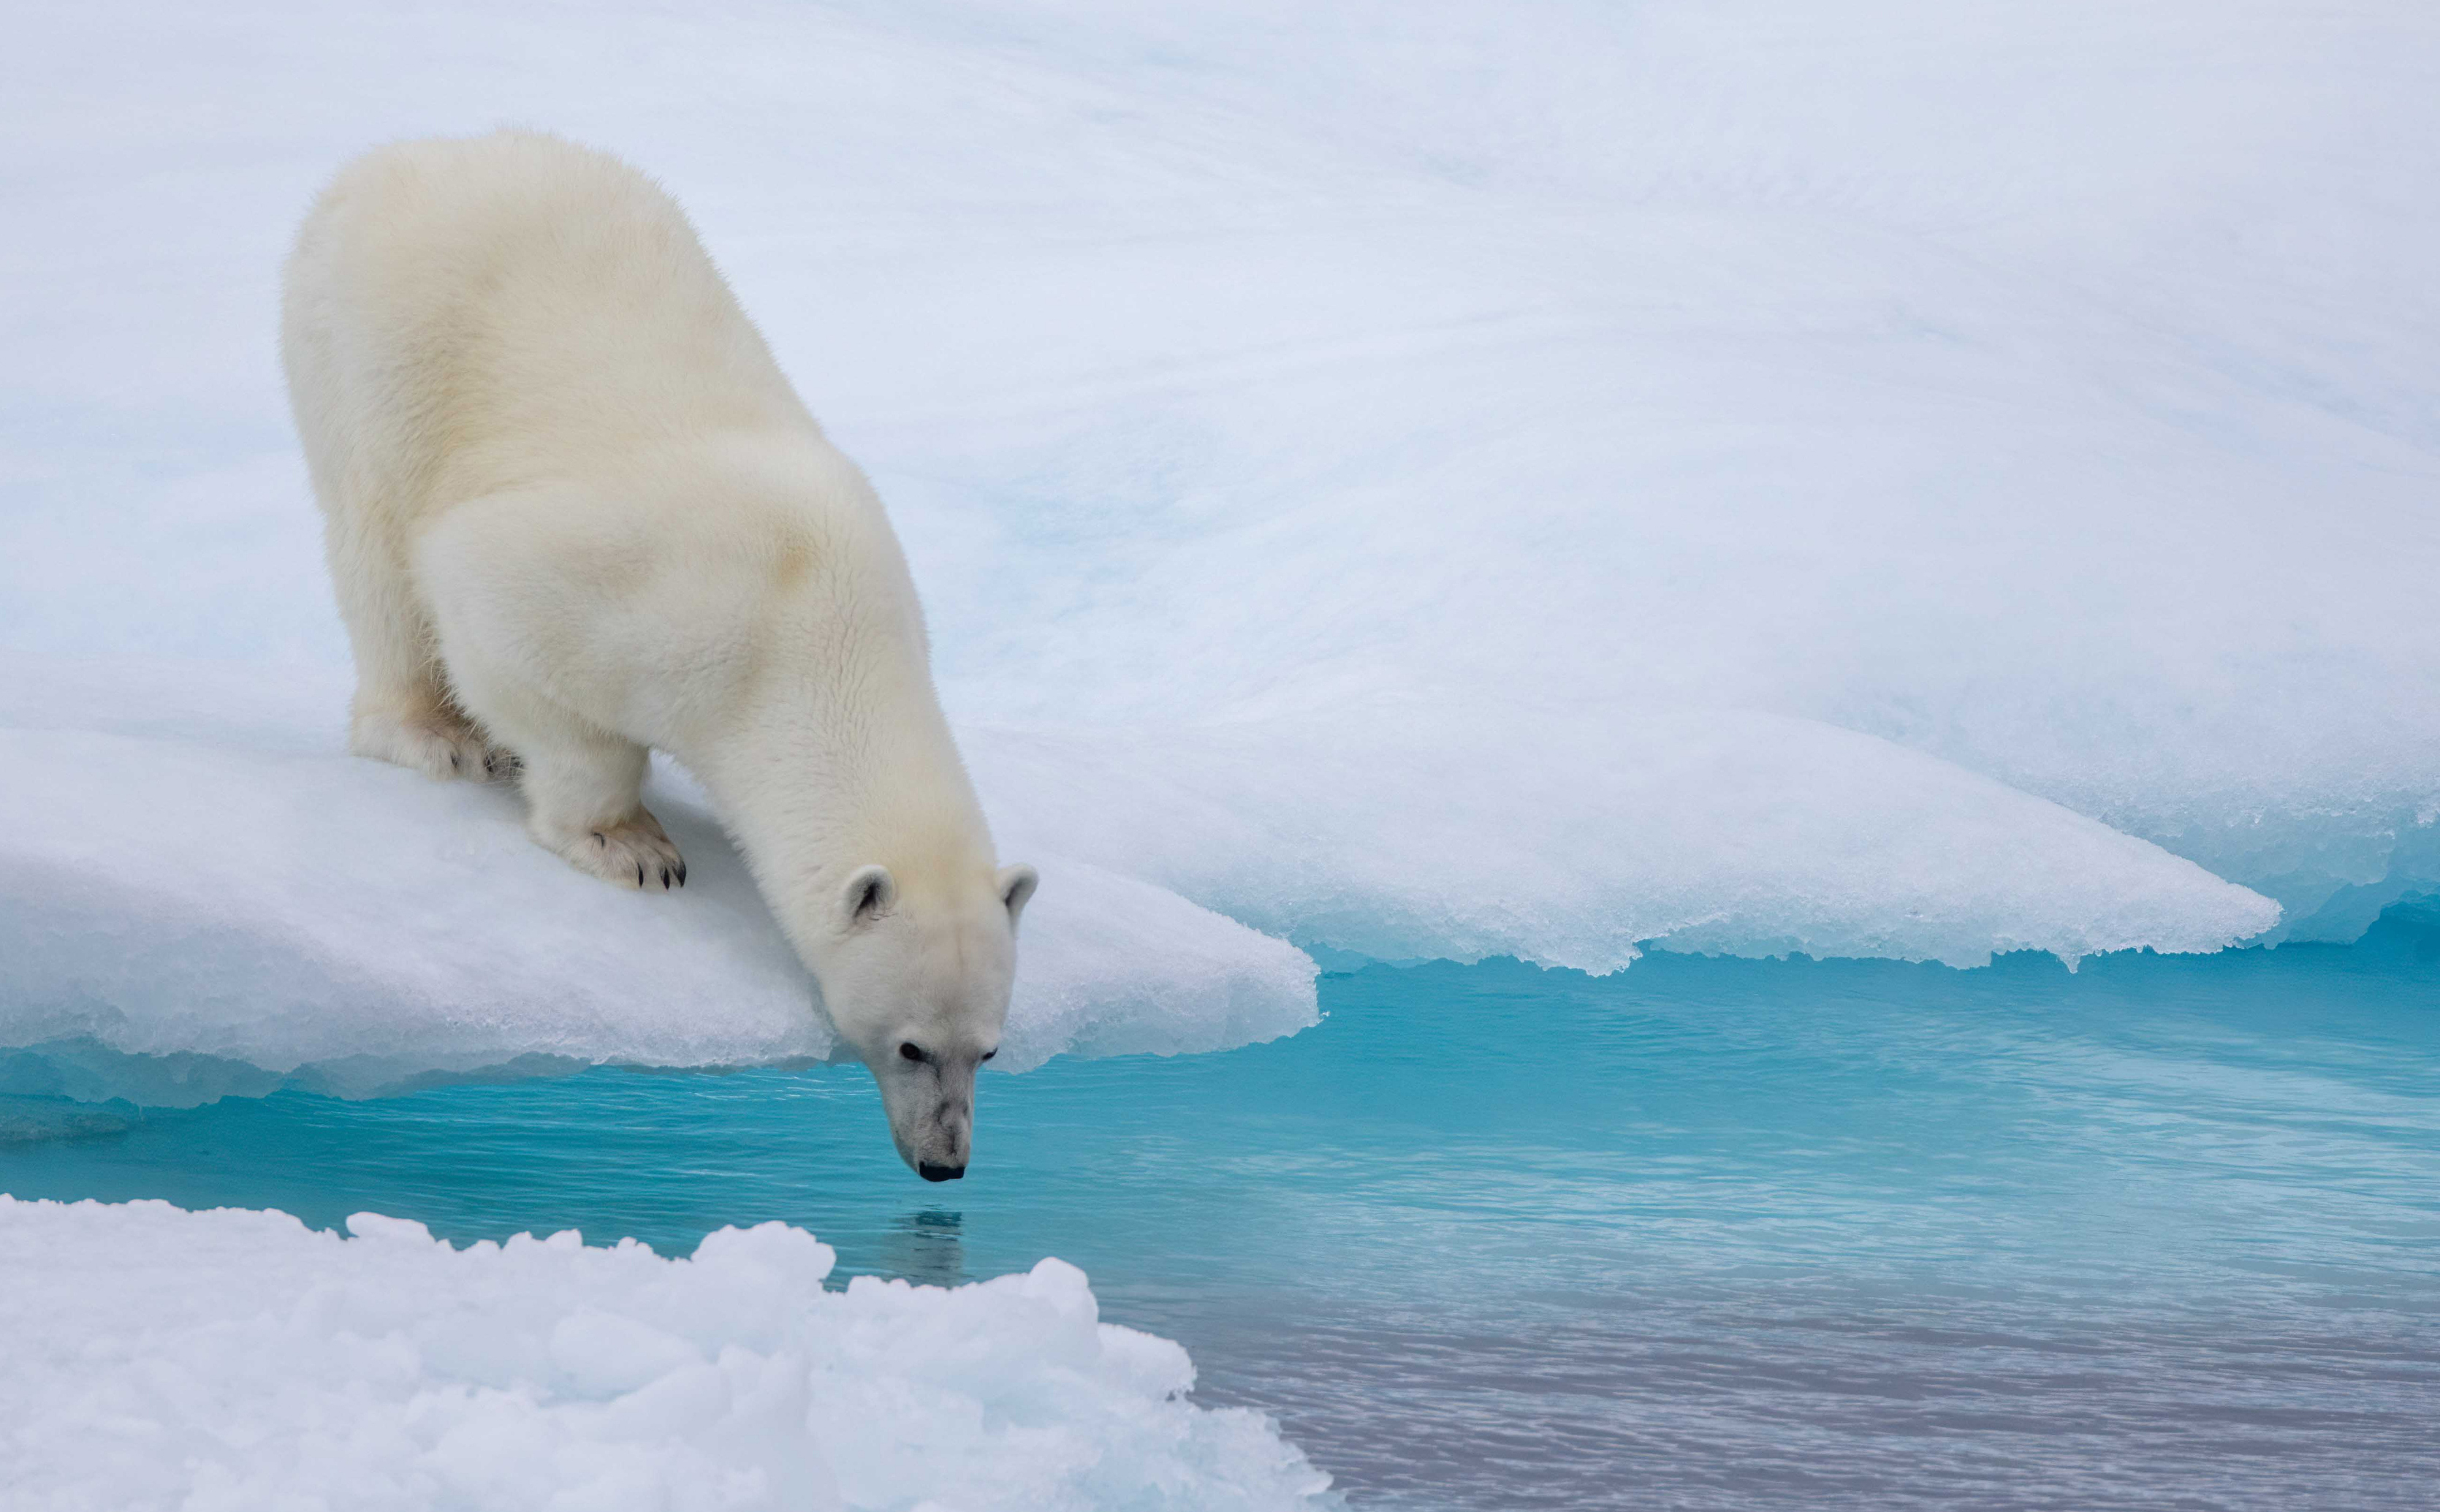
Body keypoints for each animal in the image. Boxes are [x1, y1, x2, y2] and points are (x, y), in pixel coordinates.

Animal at [280, 130, 1035, 1181]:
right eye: (911, 1044)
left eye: (989, 1048)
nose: (945, 1162)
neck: (816, 627)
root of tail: (392, 161)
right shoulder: (657, 604)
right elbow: (495, 610)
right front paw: (630, 845)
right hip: (375, 346)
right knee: (378, 546)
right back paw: (436, 733)